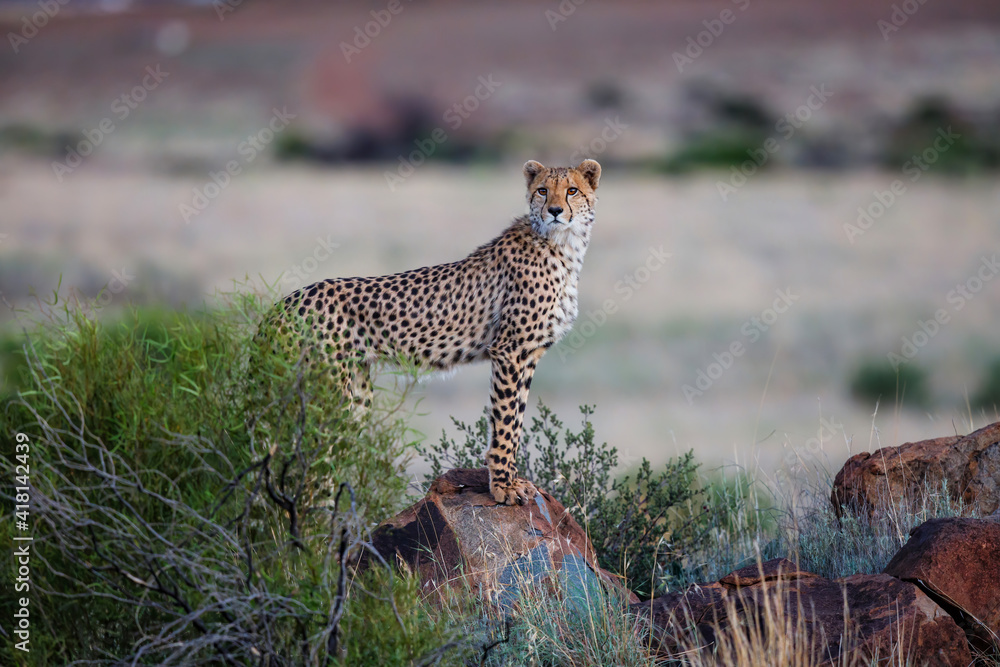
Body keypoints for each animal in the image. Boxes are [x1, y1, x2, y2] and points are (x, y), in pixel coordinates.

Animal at [252, 159, 601, 505]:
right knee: (305, 469)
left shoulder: (527, 354)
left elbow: (515, 419)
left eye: (572, 190)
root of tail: (284, 302)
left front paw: (511, 480)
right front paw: (505, 486)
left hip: (356, 396)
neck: (563, 244)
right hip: (329, 394)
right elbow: (505, 422)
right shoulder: (509, 350)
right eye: (542, 190)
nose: (555, 210)